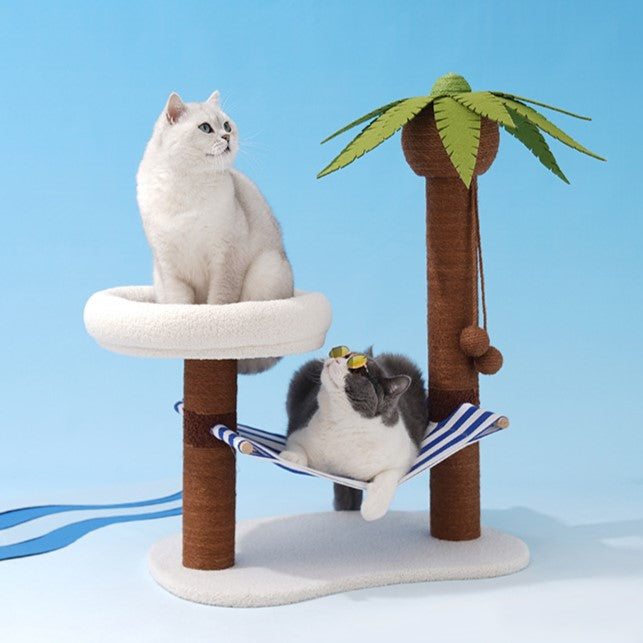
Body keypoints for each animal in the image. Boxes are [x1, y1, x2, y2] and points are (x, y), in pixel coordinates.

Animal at [136, 91, 294, 374]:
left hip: (268, 268)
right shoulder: (169, 266)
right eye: (206, 128)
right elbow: (180, 306)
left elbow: (219, 300)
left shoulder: (225, 257)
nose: (227, 137)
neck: (186, 188)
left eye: (227, 126)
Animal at [281, 348, 428, 521]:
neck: (343, 425)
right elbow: (296, 447)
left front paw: (372, 510)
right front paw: (290, 458)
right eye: (345, 354)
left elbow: (388, 477)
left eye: (358, 371)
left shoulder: (405, 455)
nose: (336, 358)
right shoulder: (299, 431)